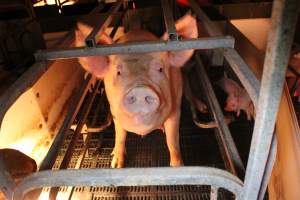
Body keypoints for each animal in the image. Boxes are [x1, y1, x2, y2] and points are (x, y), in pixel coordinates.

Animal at [75, 13, 197, 168]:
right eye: (118, 72)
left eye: (160, 69)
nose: (140, 89)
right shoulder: (114, 112)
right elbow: (120, 135)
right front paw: (115, 164)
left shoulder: (176, 109)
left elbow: (172, 139)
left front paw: (177, 166)